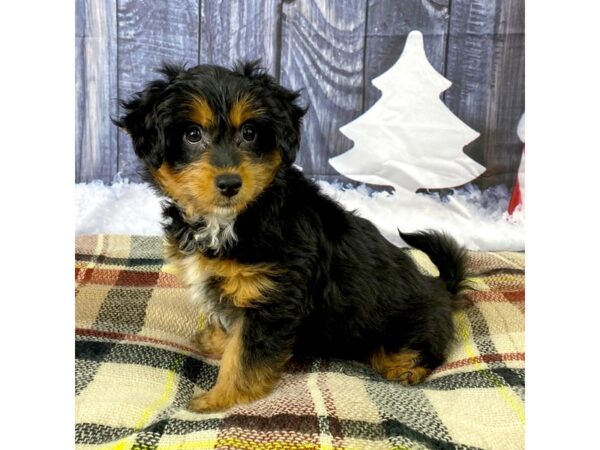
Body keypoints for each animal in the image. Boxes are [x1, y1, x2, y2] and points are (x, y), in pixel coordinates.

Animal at [115, 61, 472, 414]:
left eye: (249, 133)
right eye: (192, 134)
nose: (230, 183)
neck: (235, 219)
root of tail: (440, 288)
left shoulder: (272, 300)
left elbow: (245, 355)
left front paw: (221, 398)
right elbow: (232, 331)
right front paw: (216, 342)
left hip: (407, 326)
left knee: (424, 349)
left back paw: (407, 368)